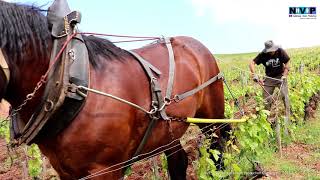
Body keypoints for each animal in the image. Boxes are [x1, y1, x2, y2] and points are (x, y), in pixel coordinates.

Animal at [0, 1, 230, 180]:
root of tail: (196, 44)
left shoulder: (104, 169)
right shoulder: (64, 170)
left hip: (211, 116)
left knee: (217, 147)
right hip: (168, 130)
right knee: (178, 161)